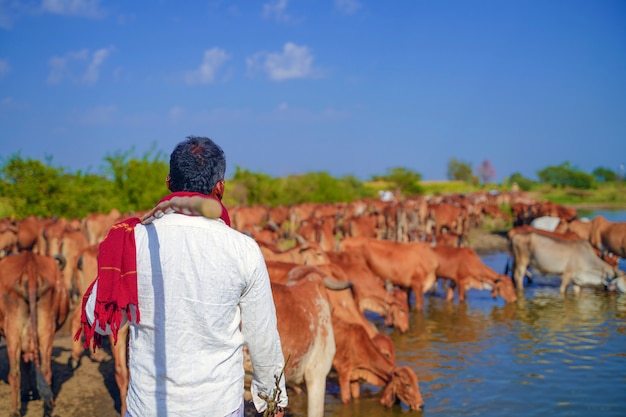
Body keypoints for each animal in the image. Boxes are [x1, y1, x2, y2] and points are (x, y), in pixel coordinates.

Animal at [0, 250, 69, 416]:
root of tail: (29, 262)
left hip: (13, 333)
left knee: (14, 374)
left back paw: (14, 411)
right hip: (46, 332)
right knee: (46, 370)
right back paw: (48, 408)